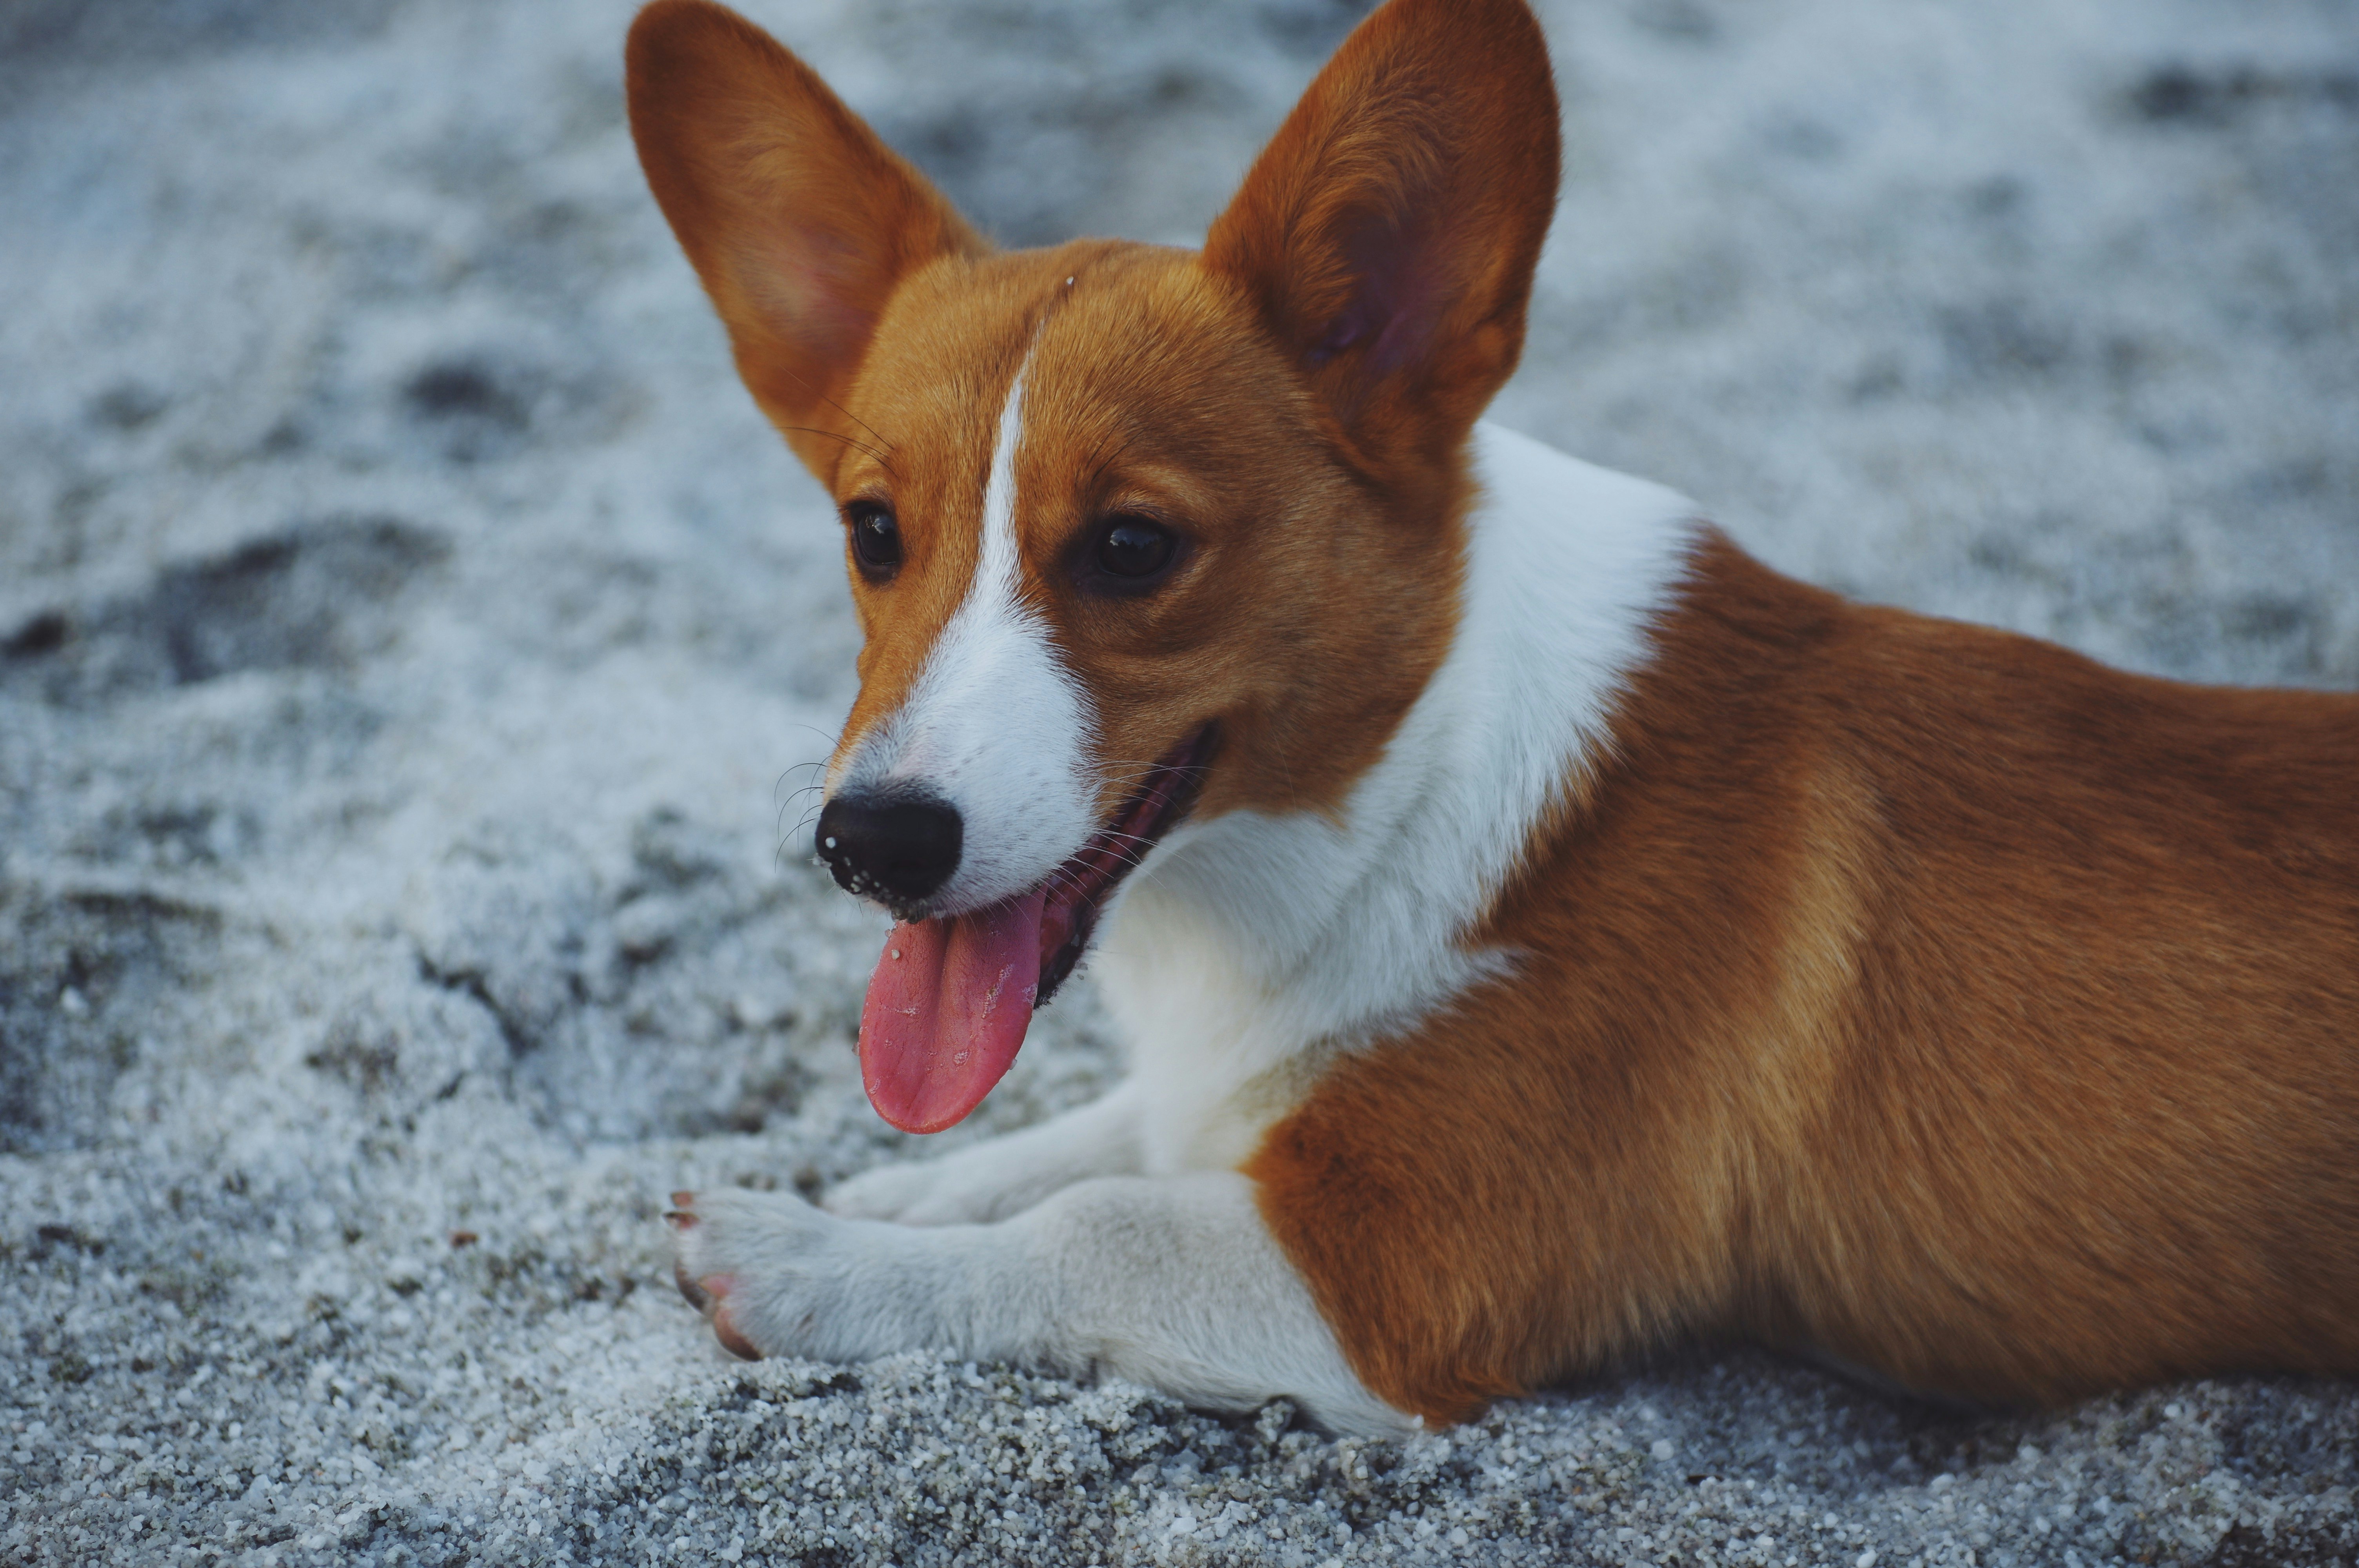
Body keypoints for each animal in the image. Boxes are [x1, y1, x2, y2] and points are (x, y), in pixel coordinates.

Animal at [627, 0, 2359, 1434]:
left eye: (1129, 549)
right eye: (871, 534)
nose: (870, 844)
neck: (1409, 791)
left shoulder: (1399, 1277)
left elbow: (1091, 1224)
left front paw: (803, 1255)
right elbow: (1084, 1143)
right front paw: (893, 1197)